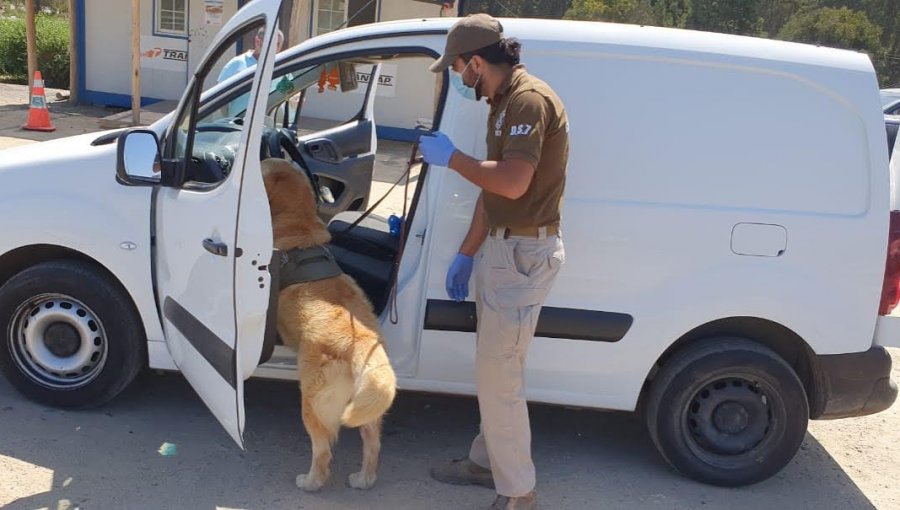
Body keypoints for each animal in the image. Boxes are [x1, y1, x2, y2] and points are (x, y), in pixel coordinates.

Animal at [262, 158, 400, 490]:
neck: (298, 227)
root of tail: (362, 343)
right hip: (368, 407)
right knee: (372, 444)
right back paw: (364, 479)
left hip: (312, 401)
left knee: (323, 450)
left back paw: (311, 481)